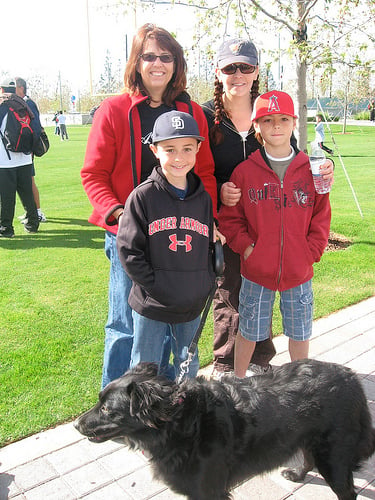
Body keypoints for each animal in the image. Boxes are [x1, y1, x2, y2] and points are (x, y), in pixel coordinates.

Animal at [75, 360, 374, 500]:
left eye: (106, 409)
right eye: (99, 401)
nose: (77, 424)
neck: (181, 423)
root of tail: (351, 378)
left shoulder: (209, 490)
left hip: (334, 454)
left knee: (347, 491)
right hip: (312, 437)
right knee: (308, 458)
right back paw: (297, 474)